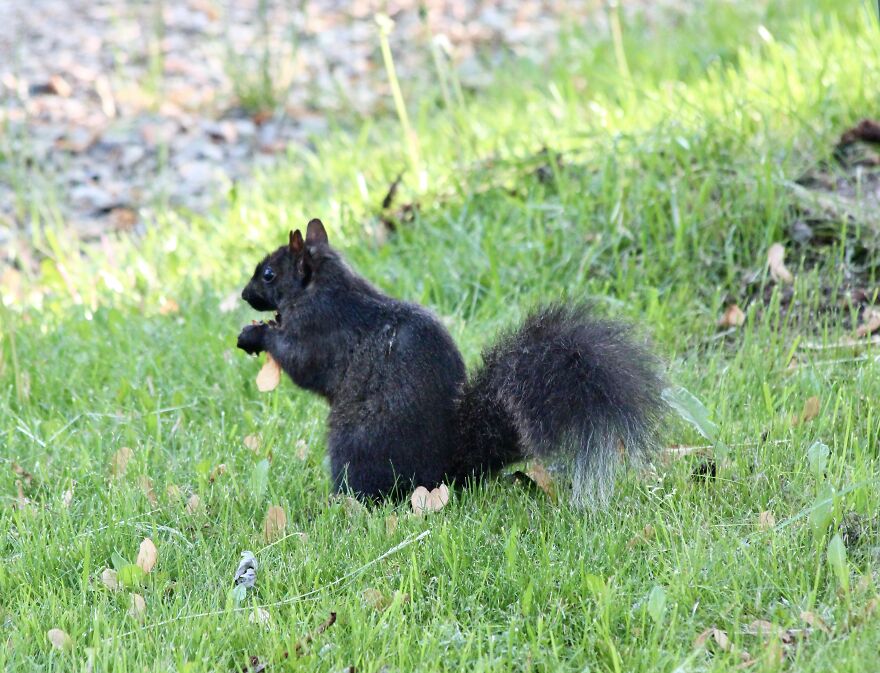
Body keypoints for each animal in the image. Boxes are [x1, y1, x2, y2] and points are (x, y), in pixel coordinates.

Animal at [237, 218, 664, 502]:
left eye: (269, 274)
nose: (243, 294)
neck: (326, 285)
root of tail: (445, 472)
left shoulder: (319, 329)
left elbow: (300, 361)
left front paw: (255, 335)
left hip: (354, 447)